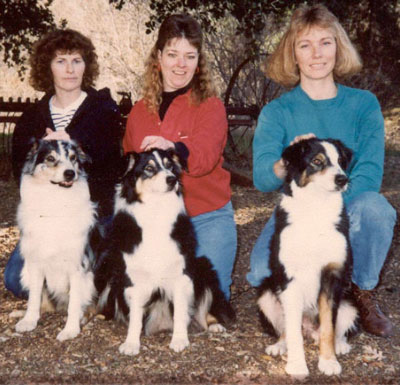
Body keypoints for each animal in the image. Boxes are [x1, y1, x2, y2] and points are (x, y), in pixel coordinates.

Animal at [95, 148, 236, 356]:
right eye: (148, 168)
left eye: (169, 165)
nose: (172, 179)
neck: (156, 211)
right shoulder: (134, 278)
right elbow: (135, 316)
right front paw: (131, 343)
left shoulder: (181, 275)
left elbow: (180, 312)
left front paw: (179, 340)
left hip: (204, 267)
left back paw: (214, 325)